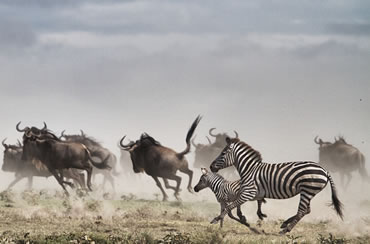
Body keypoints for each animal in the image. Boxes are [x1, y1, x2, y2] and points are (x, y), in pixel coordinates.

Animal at [210, 136, 342, 234]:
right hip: (309, 192)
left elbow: (229, 207)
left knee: (302, 211)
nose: (211, 167)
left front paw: (216, 219)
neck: (250, 169)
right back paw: (285, 223)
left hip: (307, 190)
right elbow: (239, 207)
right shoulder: (253, 193)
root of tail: (325, 170)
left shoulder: (248, 193)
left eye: (223, 153)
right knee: (307, 210)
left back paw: (286, 229)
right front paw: (247, 218)